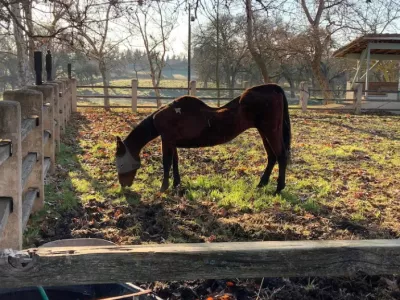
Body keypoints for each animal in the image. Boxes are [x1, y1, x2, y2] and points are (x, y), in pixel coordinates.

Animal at [115, 84, 290, 195]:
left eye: (121, 163)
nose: (123, 186)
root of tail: (273, 88)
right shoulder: (172, 142)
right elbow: (175, 162)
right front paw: (176, 184)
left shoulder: (166, 141)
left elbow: (166, 163)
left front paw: (163, 188)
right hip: (263, 132)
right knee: (272, 157)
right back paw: (262, 184)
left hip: (270, 131)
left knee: (281, 156)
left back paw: (279, 188)